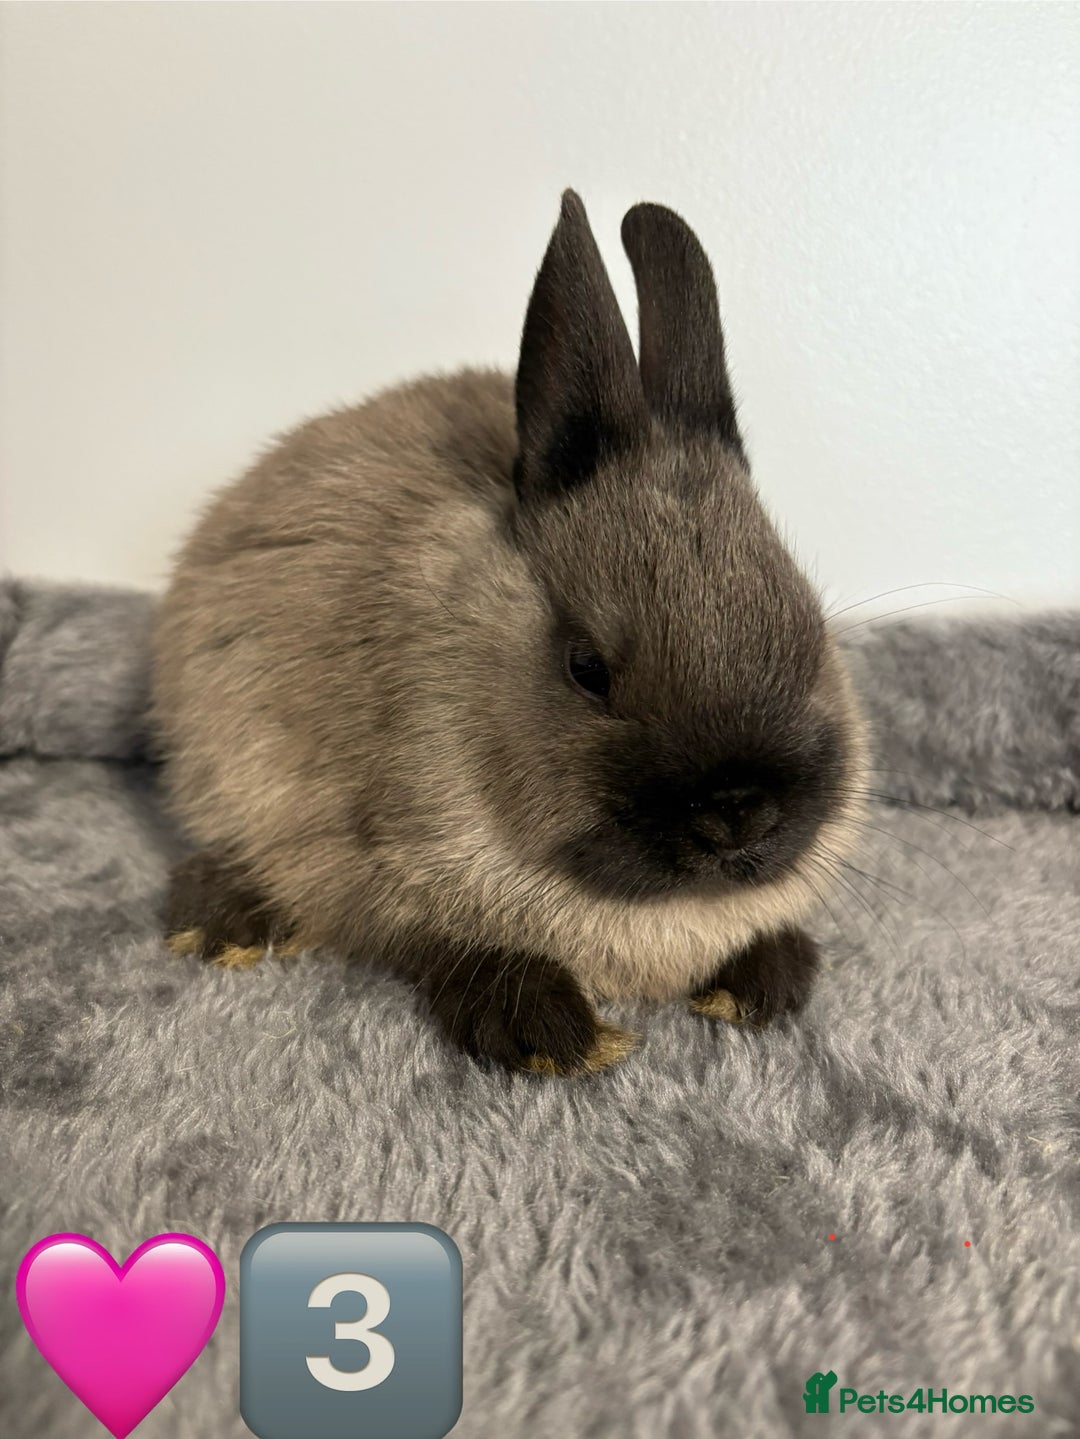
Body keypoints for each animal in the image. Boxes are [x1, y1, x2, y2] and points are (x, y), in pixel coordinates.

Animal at [152, 190, 868, 1076]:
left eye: (811, 627)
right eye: (586, 667)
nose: (739, 813)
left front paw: (763, 983)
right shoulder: (366, 867)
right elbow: (442, 946)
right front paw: (550, 1033)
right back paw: (221, 927)